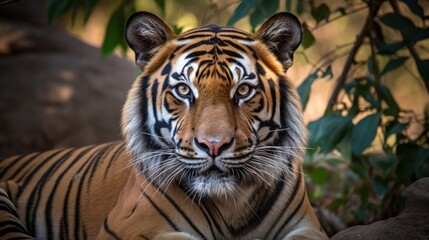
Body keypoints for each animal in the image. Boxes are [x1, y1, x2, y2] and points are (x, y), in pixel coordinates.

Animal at [0, 11, 328, 240]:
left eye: (243, 91)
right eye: (184, 90)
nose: (214, 145)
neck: (231, 203)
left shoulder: (308, 227)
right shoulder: (129, 228)